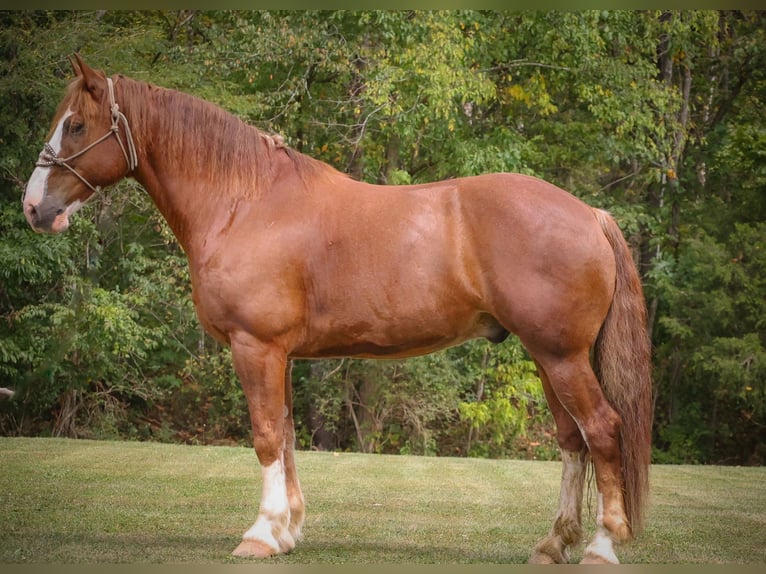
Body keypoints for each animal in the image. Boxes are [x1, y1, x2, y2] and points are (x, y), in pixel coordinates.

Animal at [21, 55, 652, 568]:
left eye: (76, 125)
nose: (32, 208)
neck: (245, 203)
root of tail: (590, 213)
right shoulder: (282, 354)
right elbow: (287, 434)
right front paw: (286, 532)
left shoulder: (256, 346)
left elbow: (266, 437)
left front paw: (258, 536)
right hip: (548, 357)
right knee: (571, 440)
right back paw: (553, 544)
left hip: (561, 356)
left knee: (601, 430)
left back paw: (601, 546)